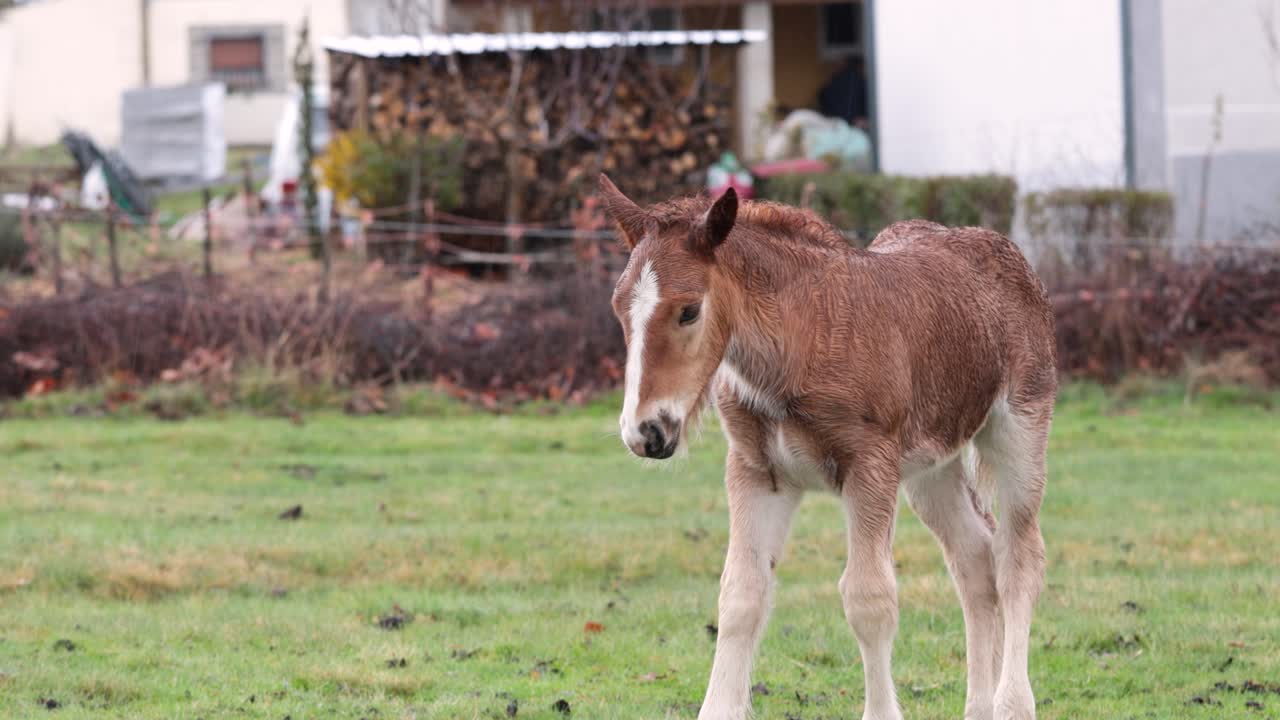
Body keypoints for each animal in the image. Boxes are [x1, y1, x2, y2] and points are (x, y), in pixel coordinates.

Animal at [599, 174, 1057, 720]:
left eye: (689, 310)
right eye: (618, 307)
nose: (644, 433)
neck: (802, 340)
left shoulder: (870, 468)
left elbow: (869, 600)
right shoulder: (756, 472)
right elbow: (740, 596)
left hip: (1019, 430)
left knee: (1017, 558)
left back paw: (1012, 703)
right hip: (932, 469)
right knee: (974, 561)